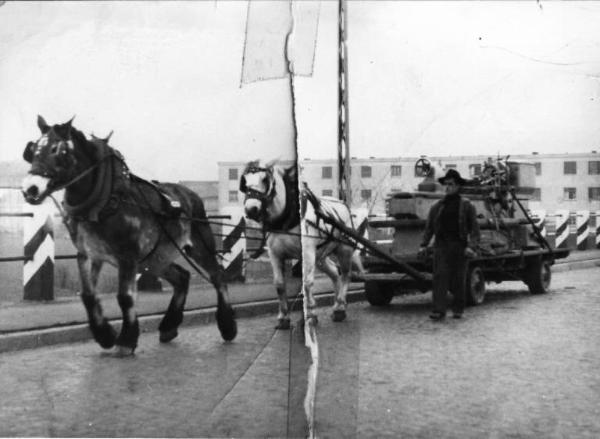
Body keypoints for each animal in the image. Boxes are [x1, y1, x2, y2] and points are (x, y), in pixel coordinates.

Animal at [21, 116, 237, 354]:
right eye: (33, 150)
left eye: (57, 149)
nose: (30, 189)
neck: (104, 202)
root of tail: (191, 195)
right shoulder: (89, 254)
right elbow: (88, 295)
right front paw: (105, 335)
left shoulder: (128, 256)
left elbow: (125, 296)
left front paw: (126, 340)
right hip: (155, 259)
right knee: (182, 277)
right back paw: (169, 327)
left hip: (198, 247)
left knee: (217, 276)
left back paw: (227, 326)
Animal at [240, 161, 360, 326]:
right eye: (244, 182)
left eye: (265, 180)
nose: (251, 209)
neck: (287, 218)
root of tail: (343, 204)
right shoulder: (275, 254)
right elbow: (279, 284)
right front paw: (283, 317)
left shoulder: (308, 252)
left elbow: (307, 282)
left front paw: (310, 314)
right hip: (320, 256)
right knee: (335, 273)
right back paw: (337, 304)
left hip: (344, 250)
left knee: (346, 274)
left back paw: (340, 308)